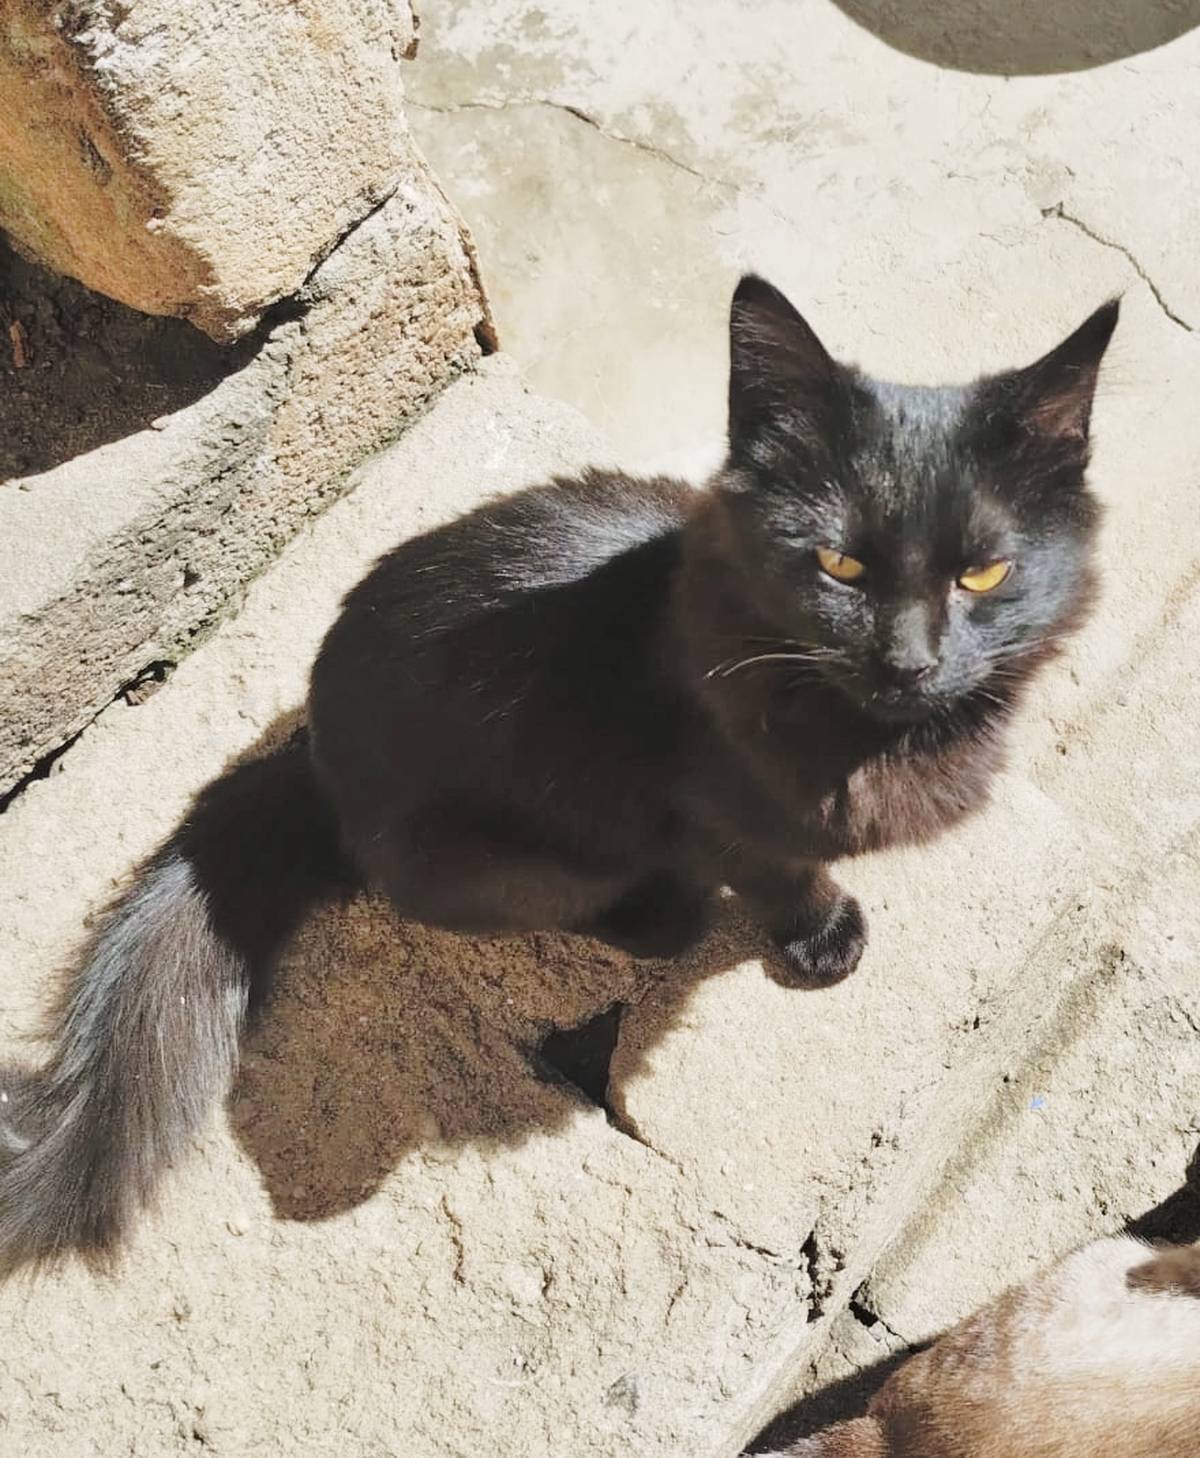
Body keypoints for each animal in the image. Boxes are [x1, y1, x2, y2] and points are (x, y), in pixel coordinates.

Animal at [0, 276, 1118, 1271]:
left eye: (983, 573)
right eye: (838, 565)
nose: (911, 660)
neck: (871, 733)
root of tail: (308, 765)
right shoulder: (713, 810)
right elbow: (781, 872)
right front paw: (822, 935)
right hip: (527, 857)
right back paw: (663, 912)